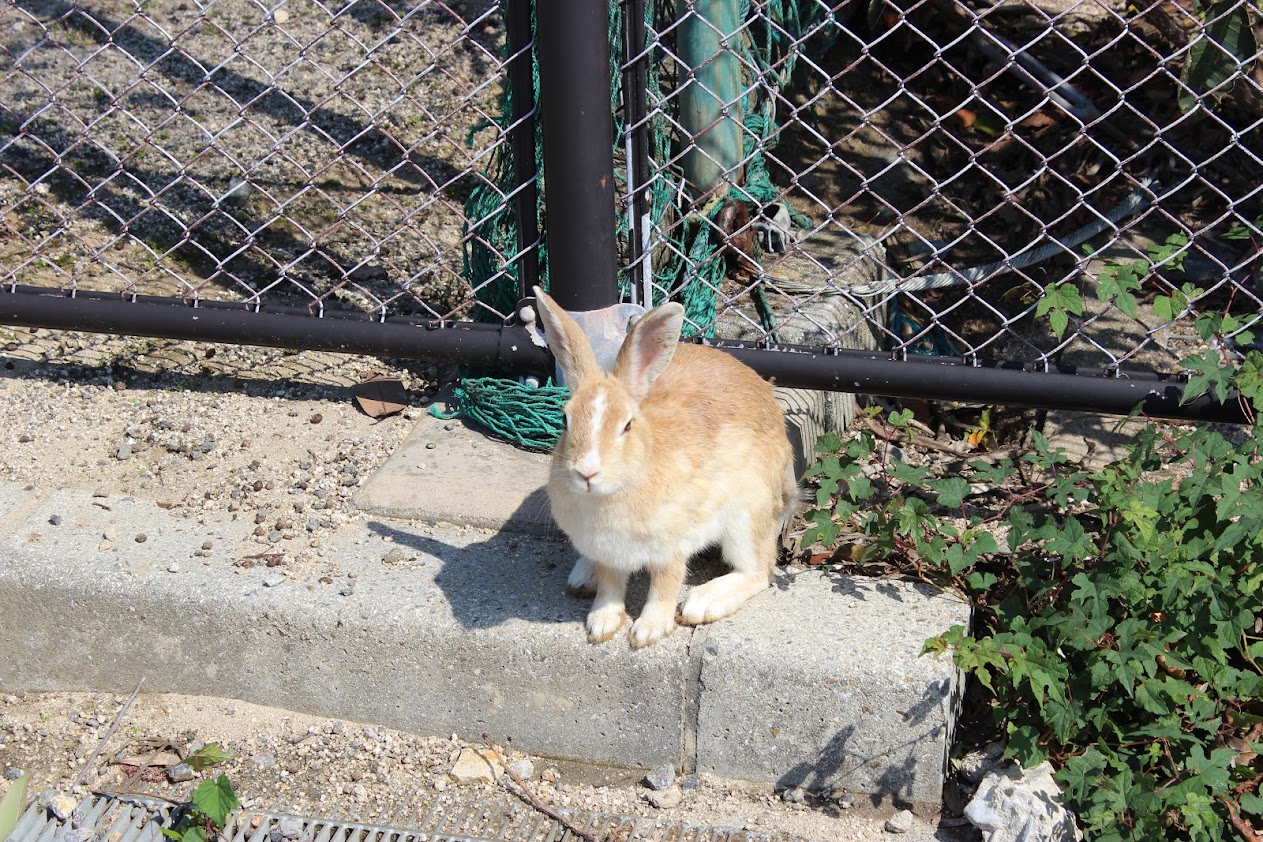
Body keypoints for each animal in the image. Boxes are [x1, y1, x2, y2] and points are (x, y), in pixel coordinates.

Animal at [532, 286, 798, 651]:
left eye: (628, 425)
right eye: (564, 420)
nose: (587, 472)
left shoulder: (671, 549)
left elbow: (664, 586)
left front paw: (648, 631)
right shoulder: (607, 554)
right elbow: (610, 587)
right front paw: (602, 624)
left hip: (747, 514)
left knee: (759, 570)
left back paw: (702, 603)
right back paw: (582, 577)